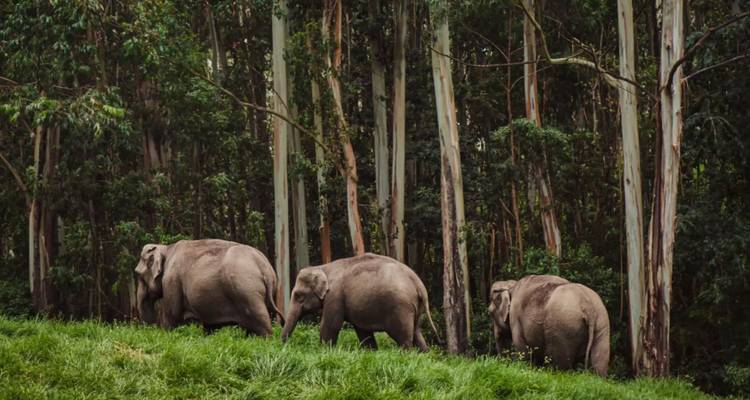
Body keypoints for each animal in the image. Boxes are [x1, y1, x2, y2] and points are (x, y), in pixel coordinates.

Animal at [134, 239, 284, 336]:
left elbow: (172, 315)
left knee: (261, 322)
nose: (150, 330)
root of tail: (264, 267)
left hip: (247, 291)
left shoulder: (172, 281)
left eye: (138, 275)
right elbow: (209, 325)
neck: (167, 248)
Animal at [280, 253, 440, 351]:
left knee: (403, 337)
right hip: (414, 308)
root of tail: (419, 284)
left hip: (401, 308)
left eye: (298, 295)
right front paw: (371, 352)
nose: (284, 345)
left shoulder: (334, 296)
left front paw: (324, 350)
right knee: (417, 333)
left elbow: (331, 325)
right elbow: (363, 331)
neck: (323, 267)